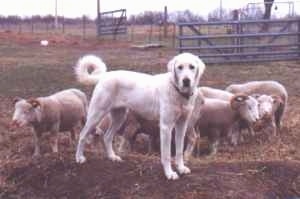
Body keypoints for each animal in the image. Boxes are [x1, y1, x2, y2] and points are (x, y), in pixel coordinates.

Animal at [74, 52, 205, 180]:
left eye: (192, 67)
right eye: (180, 67)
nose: (186, 81)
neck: (177, 90)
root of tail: (104, 76)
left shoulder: (182, 125)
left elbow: (179, 151)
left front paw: (181, 168)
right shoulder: (166, 127)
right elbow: (166, 155)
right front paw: (169, 173)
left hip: (119, 117)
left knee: (107, 137)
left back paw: (112, 157)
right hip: (96, 114)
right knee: (82, 135)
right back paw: (79, 158)